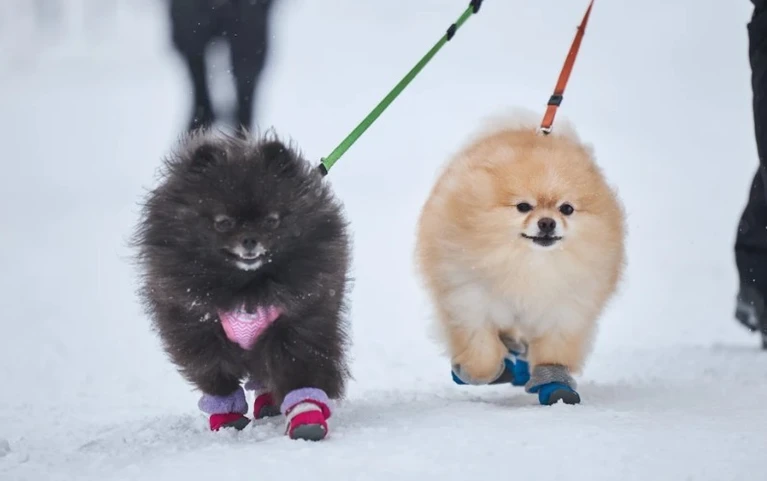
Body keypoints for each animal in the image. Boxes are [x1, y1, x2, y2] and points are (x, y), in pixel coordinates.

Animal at [133, 129, 351, 440]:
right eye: (223, 223)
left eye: (271, 221)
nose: (250, 239)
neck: (246, 287)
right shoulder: (199, 333)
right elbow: (219, 381)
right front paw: (226, 420)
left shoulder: (297, 328)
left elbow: (300, 376)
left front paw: (305, 418)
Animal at [415, 111, 625, 405]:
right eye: (524, 206)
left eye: (567, 209)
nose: (547, 223)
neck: (526, 264)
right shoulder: (469, 300)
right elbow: (481, 350)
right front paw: (483, 371)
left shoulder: (564, 309)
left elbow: (553, 352)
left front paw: (555, 385)